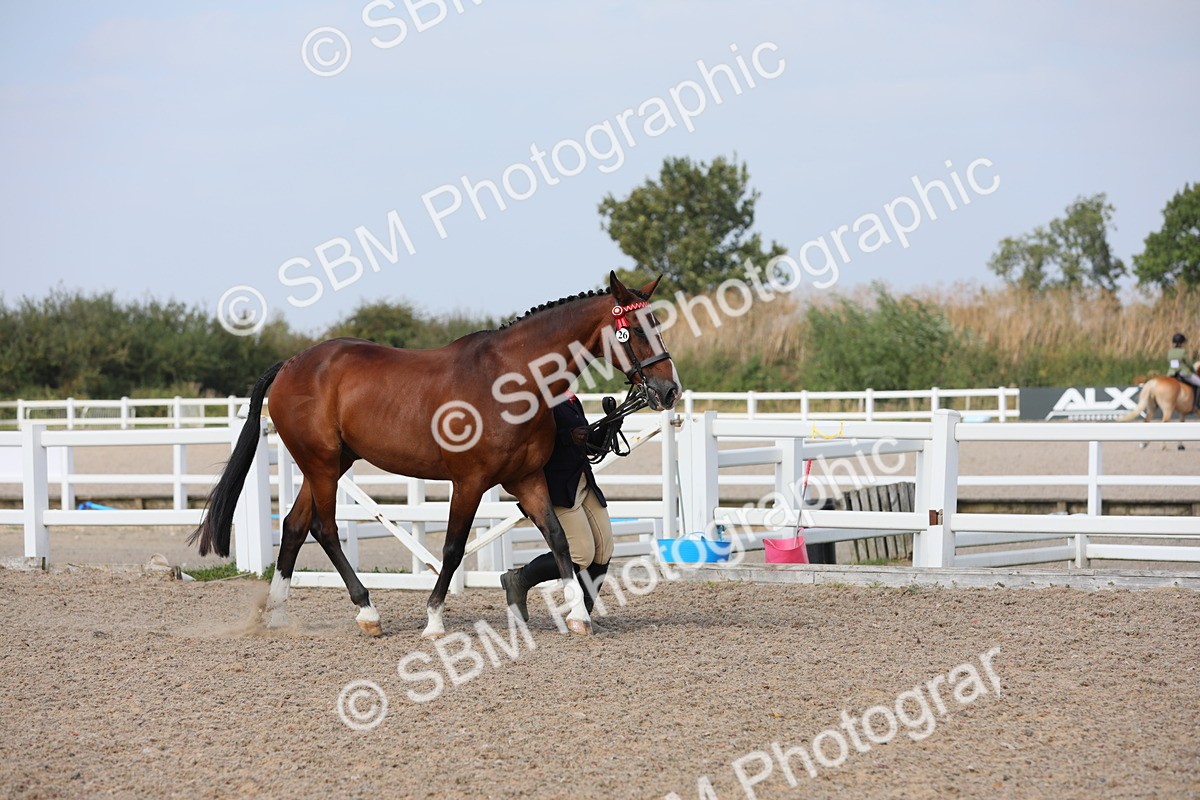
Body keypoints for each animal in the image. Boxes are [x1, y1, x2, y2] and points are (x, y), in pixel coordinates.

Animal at [188, 272, 681, 638]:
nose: (669, 390)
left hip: (329, 465)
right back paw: (367, 613)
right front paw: (433, 620)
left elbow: (559, 539)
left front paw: (577, 615)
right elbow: (452, 547)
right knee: (323, 529)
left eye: (658, 326)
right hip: (322, 465)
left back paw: (276, 615)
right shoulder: (469, 482)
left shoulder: (527, 479)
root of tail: (291, 364)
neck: (511, 380)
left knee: (293, 526)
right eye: (636, 330)